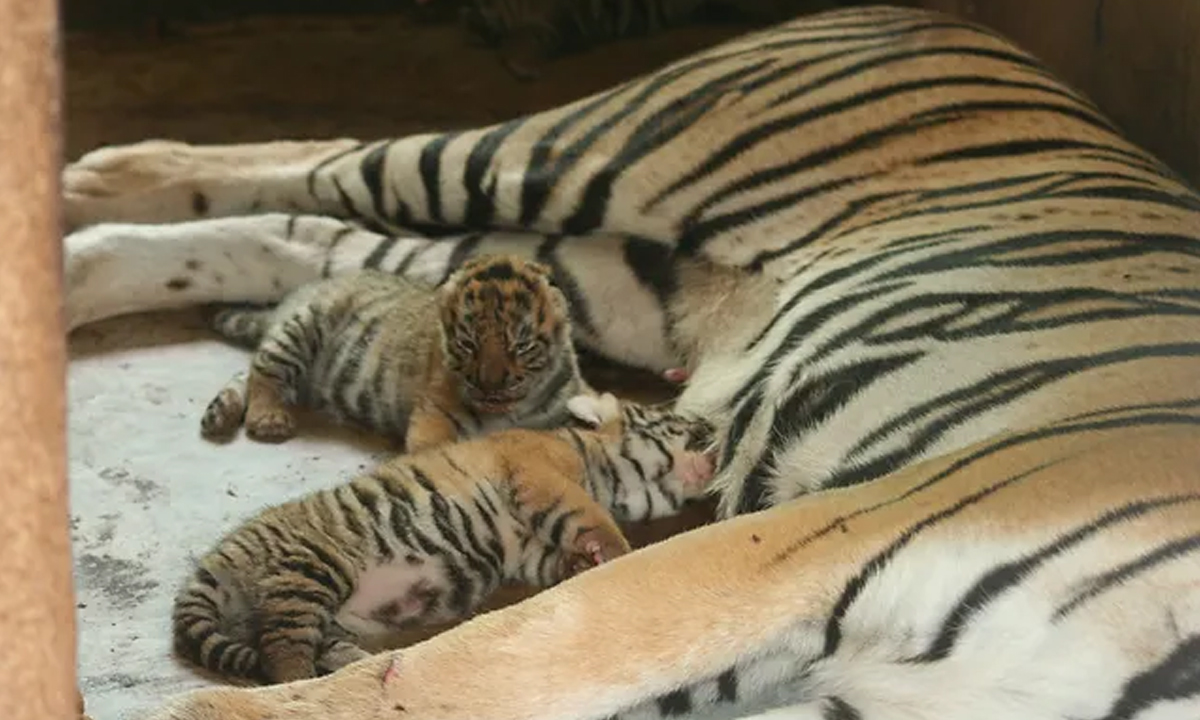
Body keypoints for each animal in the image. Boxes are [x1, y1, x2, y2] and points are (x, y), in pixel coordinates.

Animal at [63, 5, 1200, 720]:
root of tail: (962, 22)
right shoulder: (820, 537)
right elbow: (479, 666)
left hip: (593, 279)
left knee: (312, 236)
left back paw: (76, 268)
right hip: (586, 152)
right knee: (323, 159)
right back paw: (89, 182)